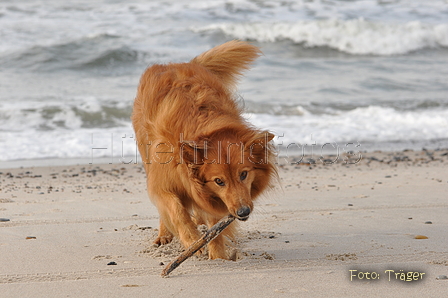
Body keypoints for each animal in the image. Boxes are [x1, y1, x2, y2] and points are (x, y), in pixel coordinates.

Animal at [131, 40, 276, 260]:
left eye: (243, 174)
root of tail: (175, 64)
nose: (243, 212)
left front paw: (218, 258)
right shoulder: (163, 182)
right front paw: (192, 240)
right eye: (219, 181)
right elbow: (176, 210)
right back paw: (165, 235)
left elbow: (214, 227)